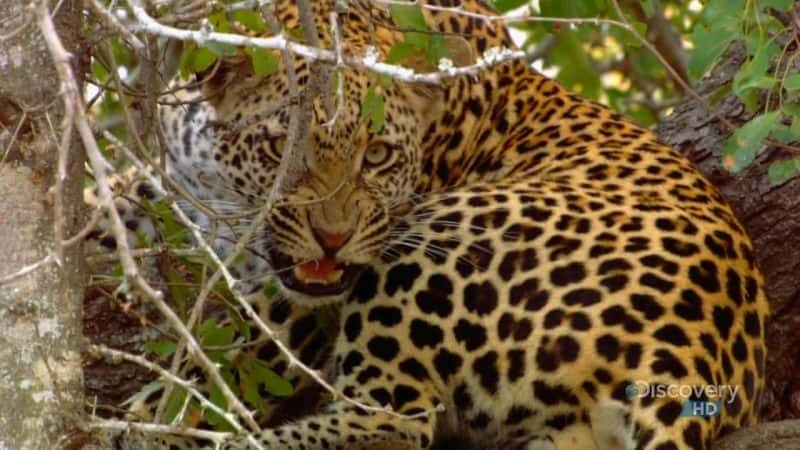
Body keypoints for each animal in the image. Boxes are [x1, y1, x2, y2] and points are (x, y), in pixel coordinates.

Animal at [87, 0, 768, 450]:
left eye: (378, 156)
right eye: (282, 147)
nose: (333, 238)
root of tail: (692, 359)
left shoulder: (303, 297)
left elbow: (216, 357)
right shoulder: (173, 175)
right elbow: (119, 193)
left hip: (432, 247)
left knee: (392, 421)